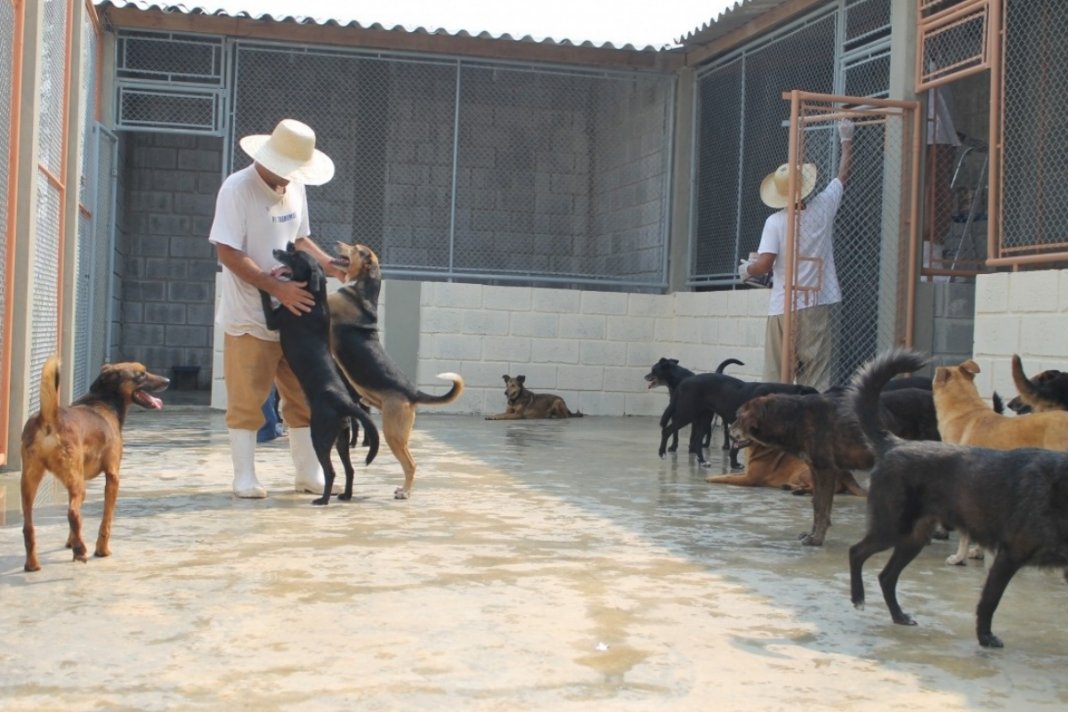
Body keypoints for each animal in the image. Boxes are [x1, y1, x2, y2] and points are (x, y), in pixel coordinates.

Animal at [17, 356, 168, 572]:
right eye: (141, 374)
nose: (167, 380)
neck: (103, 400)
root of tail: (48, 418)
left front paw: (71, 541)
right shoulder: (113, 476)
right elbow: (106, 520)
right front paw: (101, 550)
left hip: (30, 482)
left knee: (29, 527)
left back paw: (33, 564)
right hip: (76, 483)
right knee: (72, 513)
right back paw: (81, 550)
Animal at [260, 242, 382, 503]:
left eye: (295, 256)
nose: (286, 245)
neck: (314, 298)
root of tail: (345, 403)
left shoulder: (274, 320)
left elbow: (265, 298)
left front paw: (265, 281)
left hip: (320, 436)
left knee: (331, 471)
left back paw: (323, 500)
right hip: (341, 440)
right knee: (350, 469)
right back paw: (345, 496)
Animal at [328, 243, 463, 501]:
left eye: (356, 248)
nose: (338, 243)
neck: (364, 291)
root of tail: (413, 391)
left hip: (393, 434)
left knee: (411, 464)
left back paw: (405, 492)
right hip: (400, 433)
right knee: (410, 462)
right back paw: (403, 489)